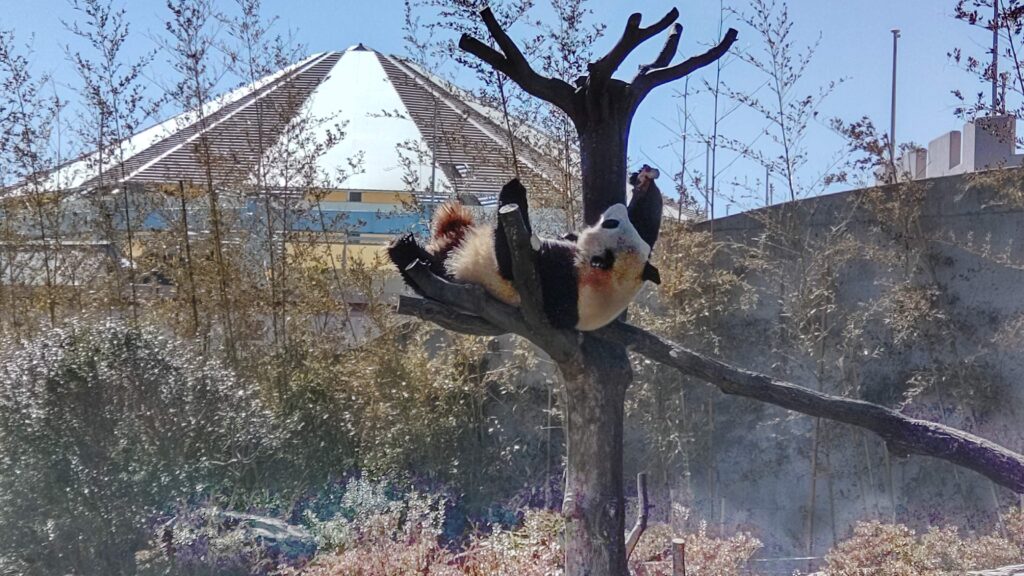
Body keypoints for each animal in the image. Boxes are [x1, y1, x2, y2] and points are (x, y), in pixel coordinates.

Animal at [385, 170, 663, 330]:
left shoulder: (560, 282)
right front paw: (642, 185)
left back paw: (404, 249)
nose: (616, 208)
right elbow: (648, 225)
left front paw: (514, 190)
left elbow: (512, 263)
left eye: (610, 223)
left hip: (454, 272)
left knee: (430, 269)